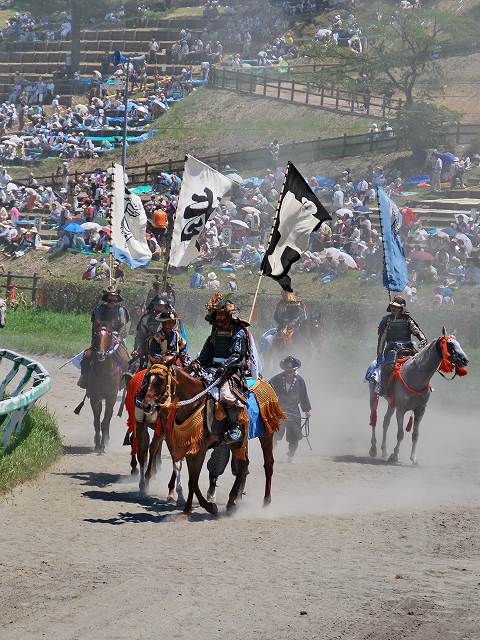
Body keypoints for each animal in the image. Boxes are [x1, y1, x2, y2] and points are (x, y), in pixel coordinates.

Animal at [125, 360, 183, 502]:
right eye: (147, 379)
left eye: (161, 380)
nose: (147, 405)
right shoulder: (141, 424)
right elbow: (143, 450)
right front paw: (143, 485)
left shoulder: (165, 430)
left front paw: (172, 491)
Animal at [369, 330, 469, 464]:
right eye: (450, 344)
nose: (465, 359)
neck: (414, 376)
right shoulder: (401, 410)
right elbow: (400, 434)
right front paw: (394, 455)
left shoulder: (420, 410)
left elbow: (415, 434)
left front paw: (413, 458)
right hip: (374, 397)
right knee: (374, 420)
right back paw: (373, 449)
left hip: (392, 403)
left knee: (386, 422)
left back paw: (384, 451)